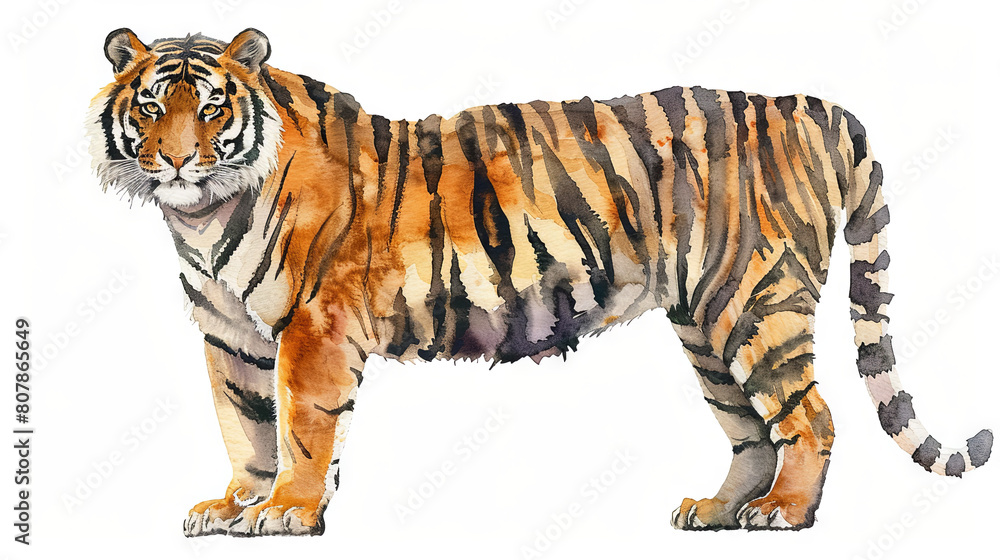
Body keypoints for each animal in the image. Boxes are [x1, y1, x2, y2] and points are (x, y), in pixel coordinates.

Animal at [87, 28, 992, 537]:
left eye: (210, 107)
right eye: (151, 109)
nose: (176, 159)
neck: (202, 217)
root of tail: (808, 103)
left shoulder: (312, 327)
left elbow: (302, 431)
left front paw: (286, 512)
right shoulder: (228, 335)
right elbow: (244, 428)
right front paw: (231, 505)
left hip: (755, 303)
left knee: (810, 416)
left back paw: (785, 515)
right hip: (705, 322)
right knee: (750, 433)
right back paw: (716, 512)